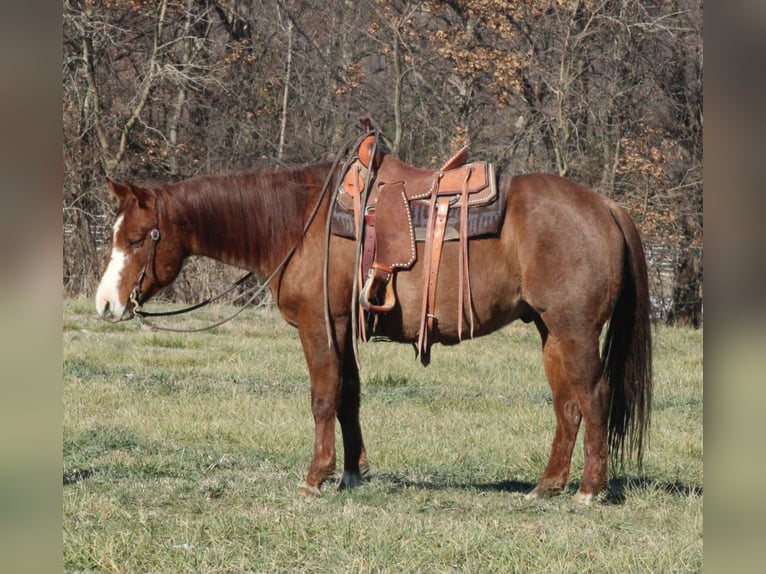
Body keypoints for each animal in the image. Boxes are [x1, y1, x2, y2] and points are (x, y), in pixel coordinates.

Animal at [94, 159, 652, 505]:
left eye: (139, 238)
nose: (105, 304)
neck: (299, 224)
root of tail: (606, 206)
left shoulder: (320, 325)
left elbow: (323, 397)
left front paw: (315, 477)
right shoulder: (344, 328)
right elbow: (349, 397)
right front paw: (352, 472)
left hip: (574, 330)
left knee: (594, 398)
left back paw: (588, 490)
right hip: (550, 332)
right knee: (568, 405)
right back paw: (548, 485)